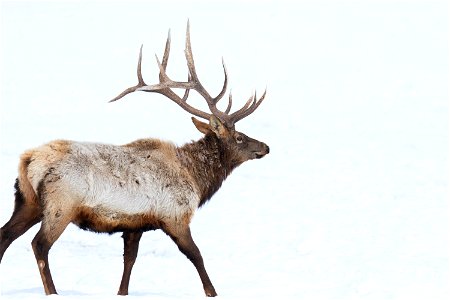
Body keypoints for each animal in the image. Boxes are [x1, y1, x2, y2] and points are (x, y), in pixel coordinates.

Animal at [0, 22, 268, 296]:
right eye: (239, 137)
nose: (265, 147)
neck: (197, 178)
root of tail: (28, 160)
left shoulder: (134, 225)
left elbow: (129, 261)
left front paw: (122, 292)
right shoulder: (175, 217)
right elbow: (196, 255)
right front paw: (212, 292)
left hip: (27, 201)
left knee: (5, 235)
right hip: (61, 205)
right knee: (39, 244)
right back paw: (52, 291)